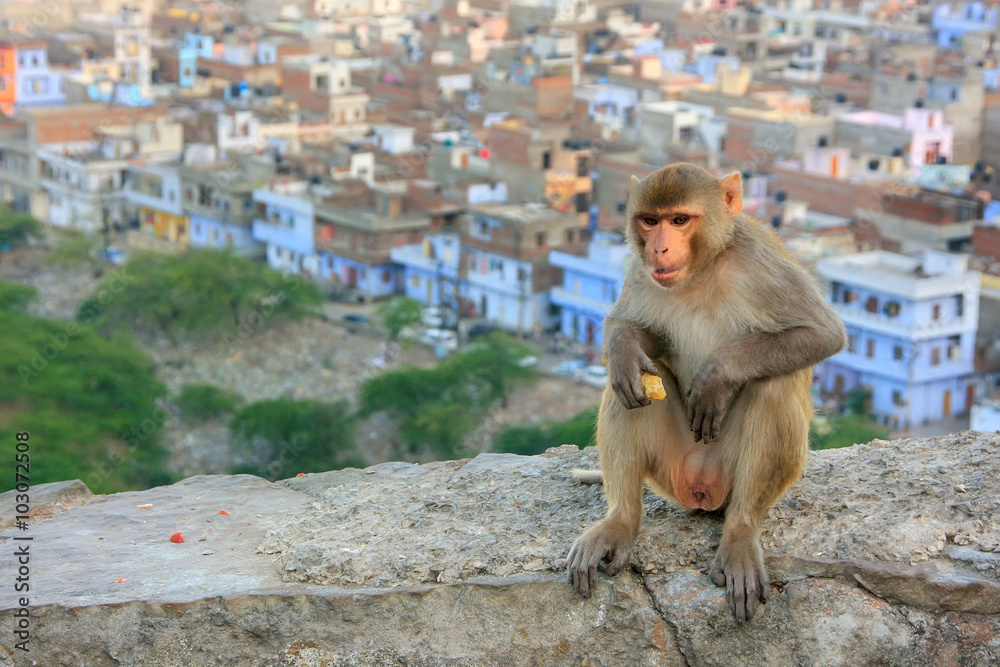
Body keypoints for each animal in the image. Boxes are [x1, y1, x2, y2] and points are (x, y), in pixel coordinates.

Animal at [567, 163, 846, 624]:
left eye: (680, 220)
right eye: (650, 220)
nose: (659, 248)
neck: (702, 269)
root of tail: (701, 487)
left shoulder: (759, 262)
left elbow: (821, 334)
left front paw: (718, 376)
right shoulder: (642, 271)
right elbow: (638, 336)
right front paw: (623, 348)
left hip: (730, 474)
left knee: (774, 384)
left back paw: (740, 534)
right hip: (670, 465)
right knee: (630, 387)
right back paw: (619, 523)